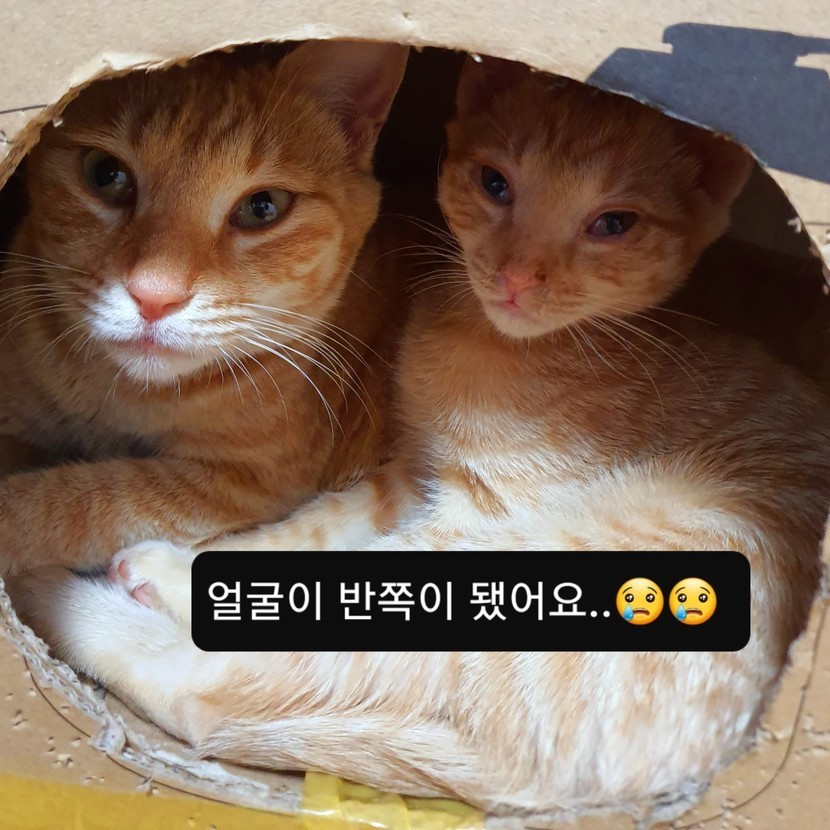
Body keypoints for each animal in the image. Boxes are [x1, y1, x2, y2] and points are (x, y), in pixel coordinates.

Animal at [0, 39, 410, 575]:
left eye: (263, 207)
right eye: (105, 175)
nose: (154, 295)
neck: (127, 398)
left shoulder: (245, 482)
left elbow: (85, 500)